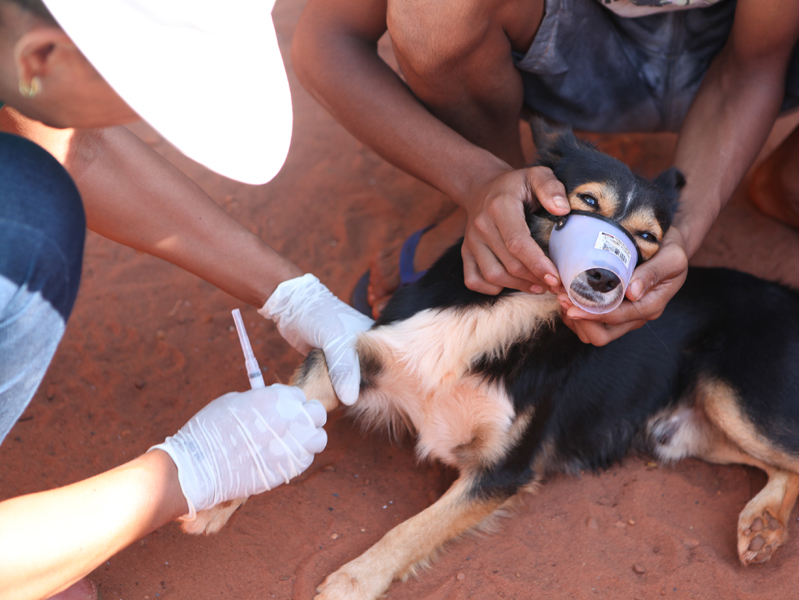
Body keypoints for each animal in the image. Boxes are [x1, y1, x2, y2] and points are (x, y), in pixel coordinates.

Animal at [184, 123, 799, 600]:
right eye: (585, 203)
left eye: (646, 239)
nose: (605, 277)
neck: (503, 308)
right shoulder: (355, 354)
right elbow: (287, 408)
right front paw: (226, 475)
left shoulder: (501, 471)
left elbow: (410, 530)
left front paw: (352, 582)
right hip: (690, 429)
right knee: (784, 466)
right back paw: (763, 524)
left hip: (732, 396)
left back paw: (764, 525)